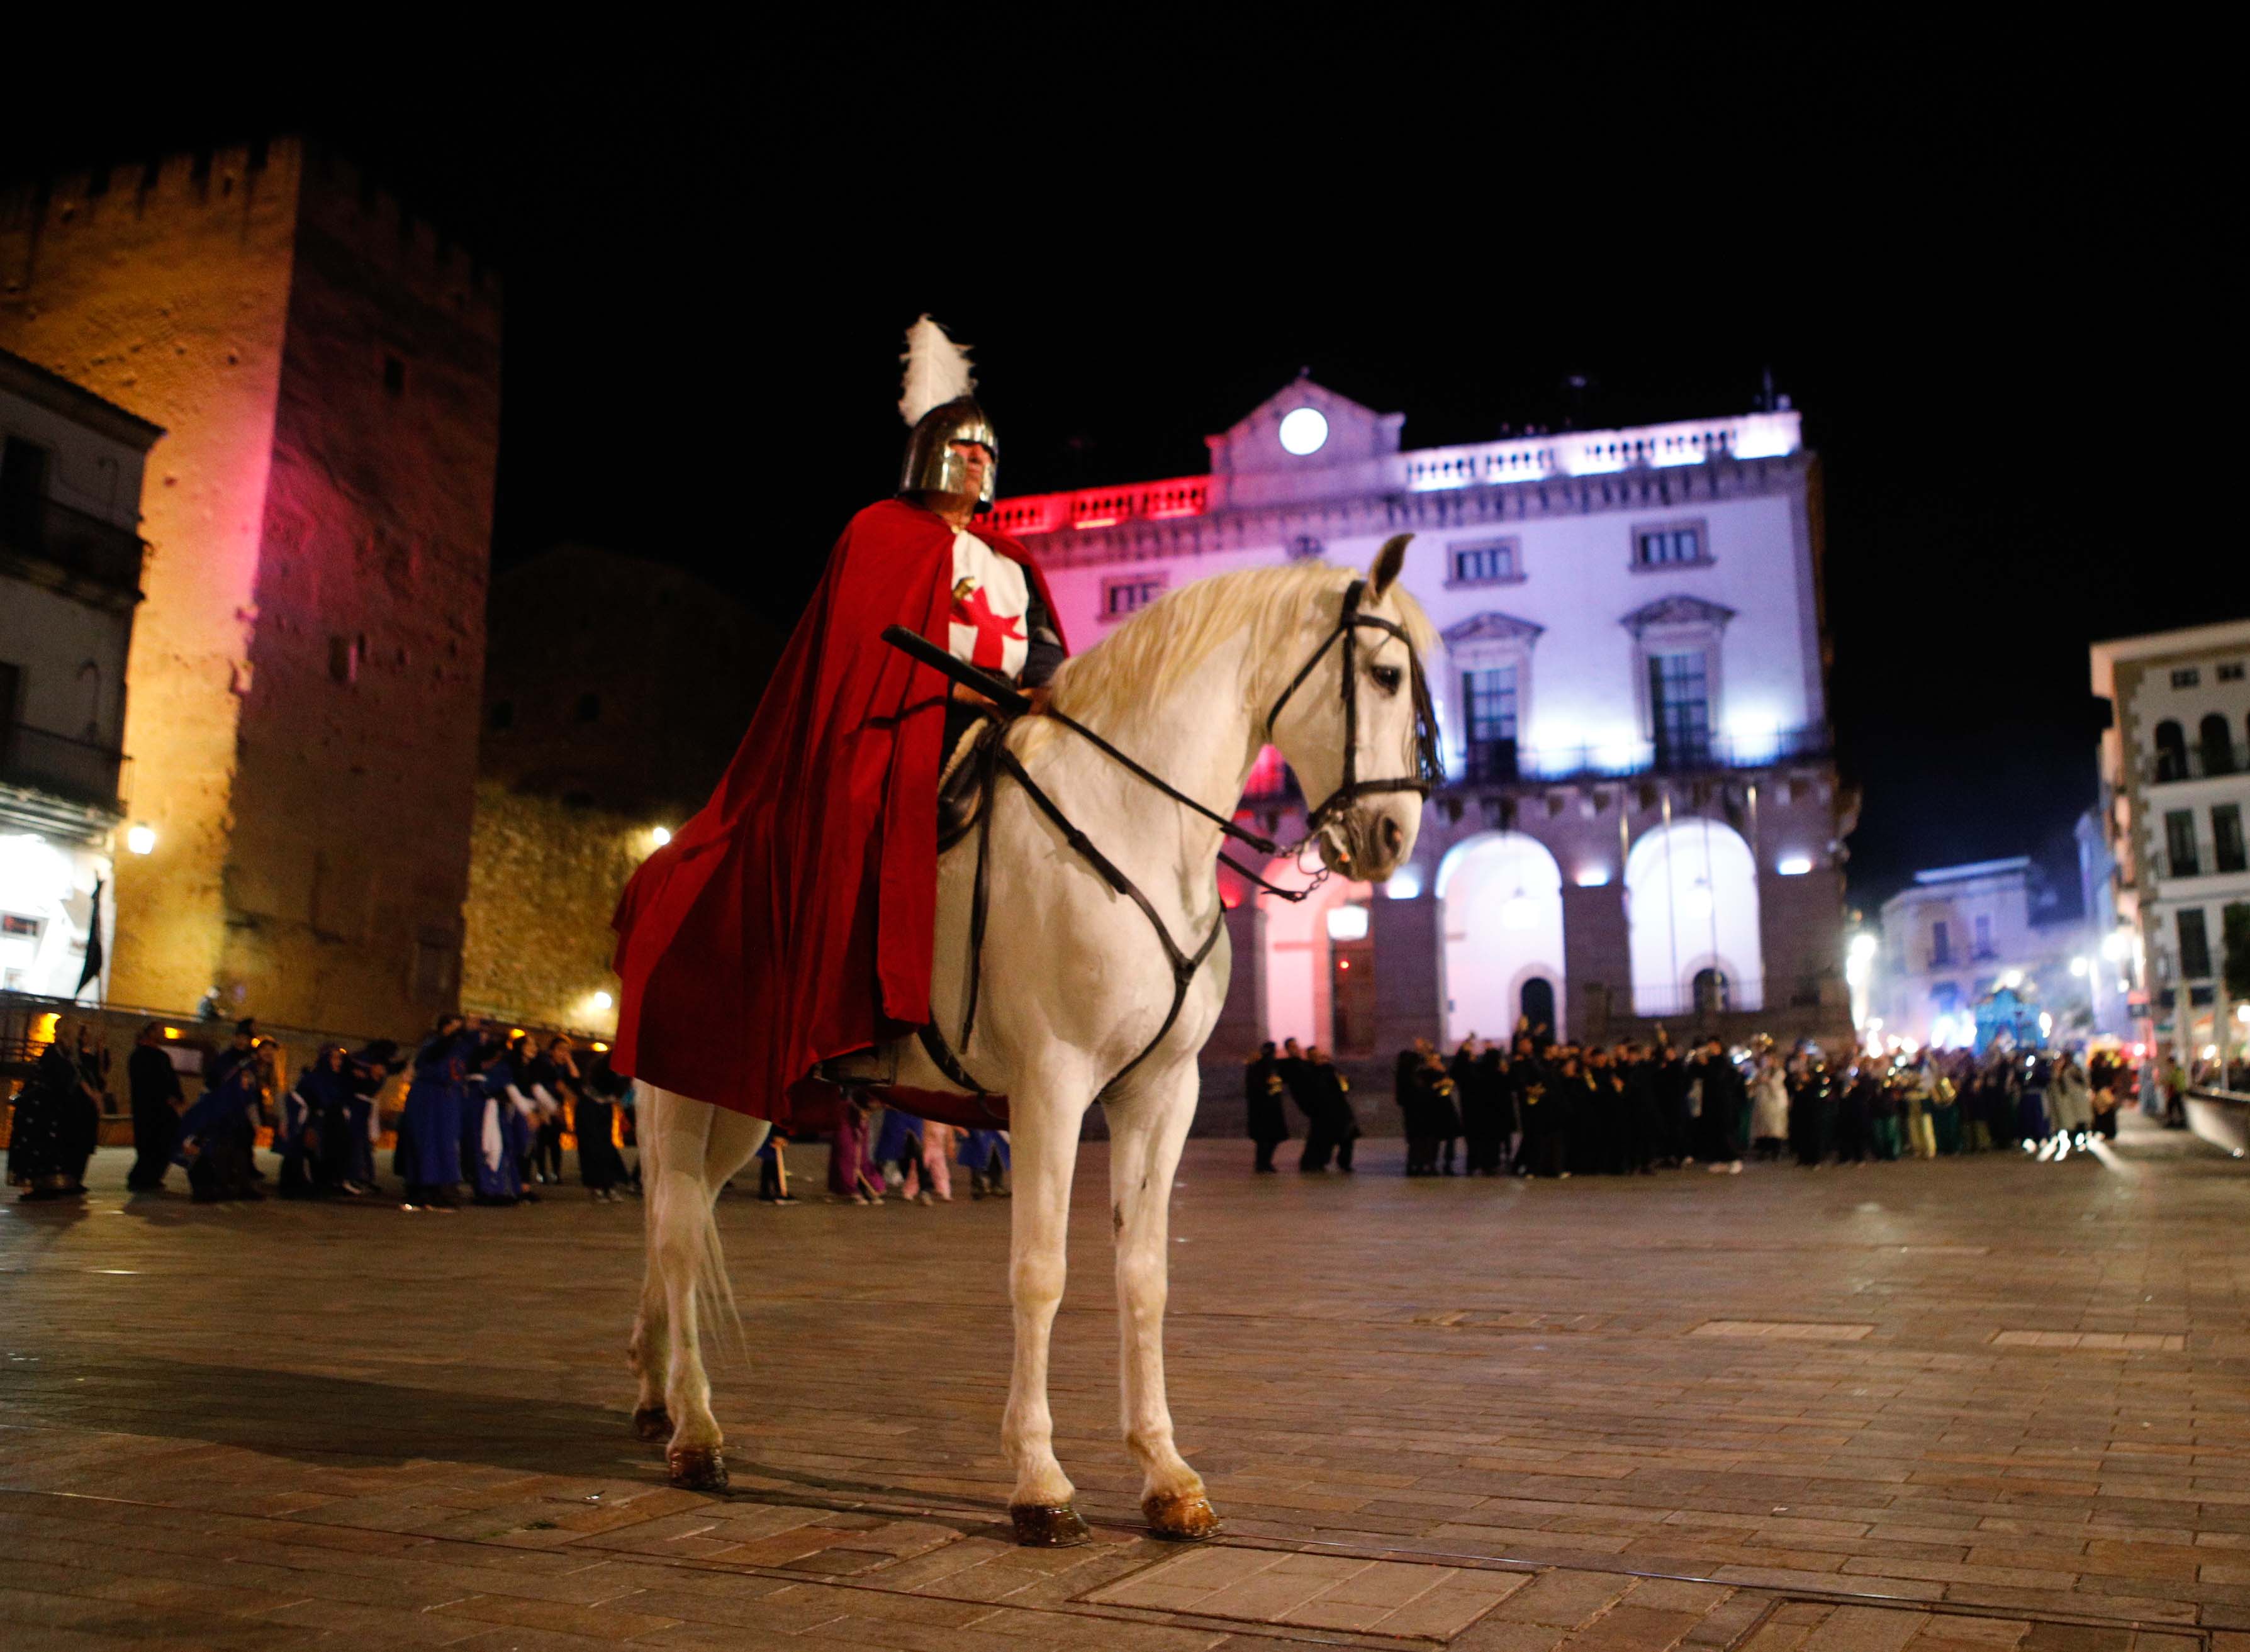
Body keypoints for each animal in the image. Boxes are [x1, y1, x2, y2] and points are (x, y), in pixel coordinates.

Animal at [625, 540, 1431, 1548]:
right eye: (1387, 674)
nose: (1392, 835)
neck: (1134, 819)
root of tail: (663, 858)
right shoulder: (1052, 1082)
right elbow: (1041, 1274)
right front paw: (1040, 1480)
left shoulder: (1161, 1093)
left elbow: (1145, 1274)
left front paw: (1165, 1474)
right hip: (683, 1088)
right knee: (676, 1233)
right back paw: (695, 1430)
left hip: (745, 1103)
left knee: (679, 1222)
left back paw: (656, 1393)